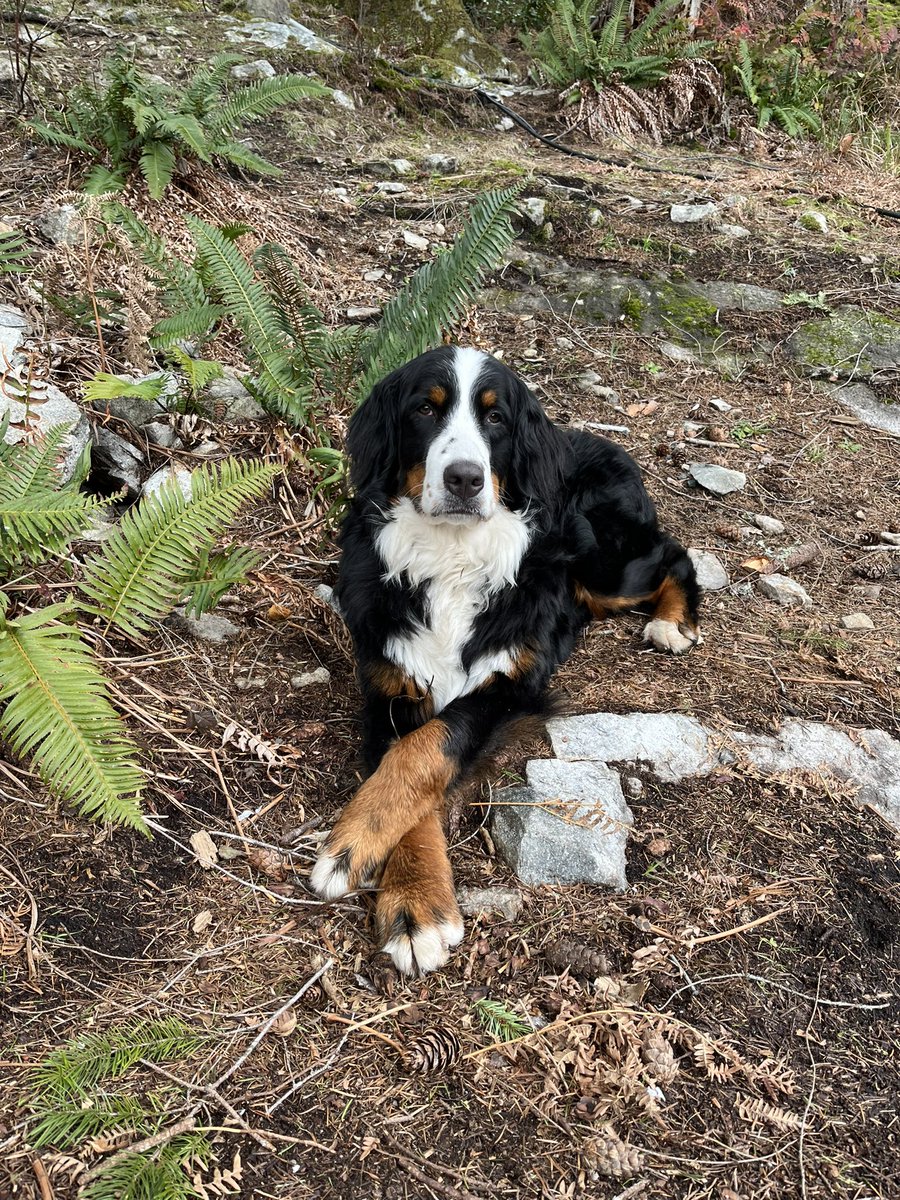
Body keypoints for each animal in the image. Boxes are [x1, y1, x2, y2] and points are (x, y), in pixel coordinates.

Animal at [314, 345, 700, 974]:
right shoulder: (390, 682)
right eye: (425, 409)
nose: (465, 478)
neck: (449, 555)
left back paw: (673, 622)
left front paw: (354, 845)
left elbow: (428, 747)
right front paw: (414, 901)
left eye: (495, 418)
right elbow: (406, 767)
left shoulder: (512, 679)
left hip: (602, 567)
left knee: (674, 554)